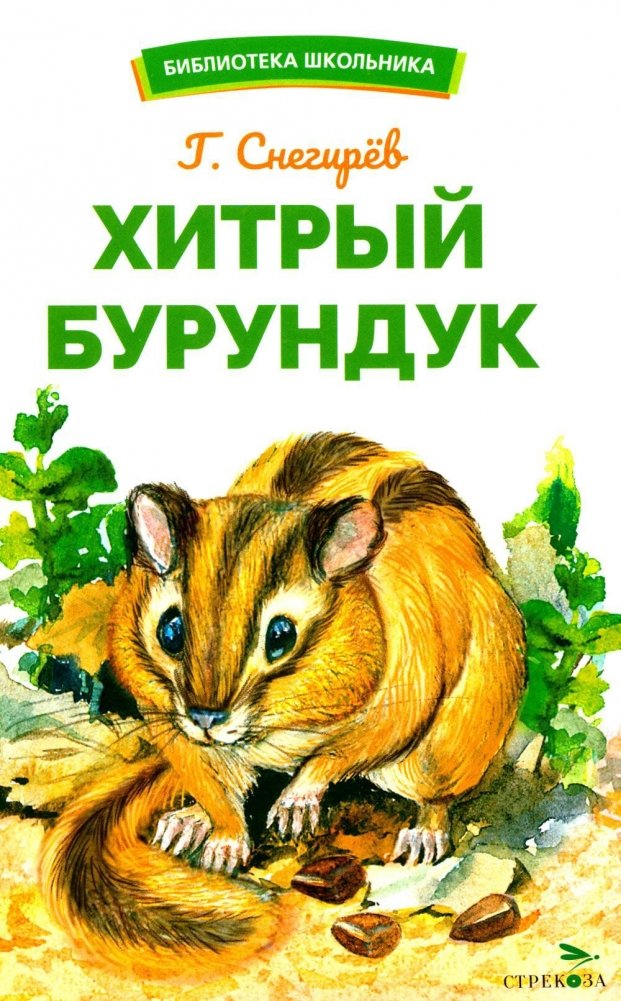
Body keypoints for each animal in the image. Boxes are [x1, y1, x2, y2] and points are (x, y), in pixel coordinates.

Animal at [40, 432, 525, 976]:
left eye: (280, 636)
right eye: (170, 630)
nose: (207, 718)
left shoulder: (398, 702)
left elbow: (338, 755)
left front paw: (295, 803)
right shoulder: (172, 727)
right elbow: (215, 789)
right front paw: (223, 840)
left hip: (445, 748)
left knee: (433, 796)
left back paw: (423, 836)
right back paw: (186, 822)